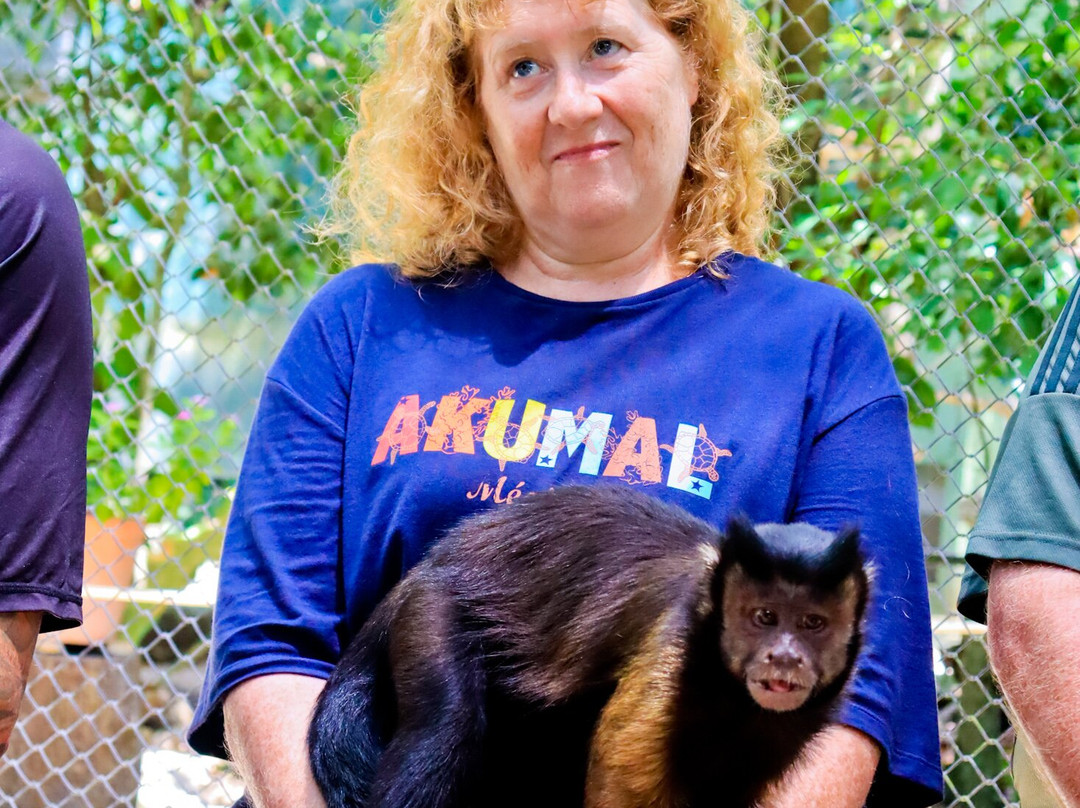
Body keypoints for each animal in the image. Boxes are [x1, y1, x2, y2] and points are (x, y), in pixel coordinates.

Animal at [307, 484, 871, 808]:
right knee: (446, 728)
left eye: (813, 623)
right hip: (432, 609)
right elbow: (622, 785)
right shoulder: (669, 657)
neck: (730, 695)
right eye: (765, 617)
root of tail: (441, 557)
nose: (785, 656)